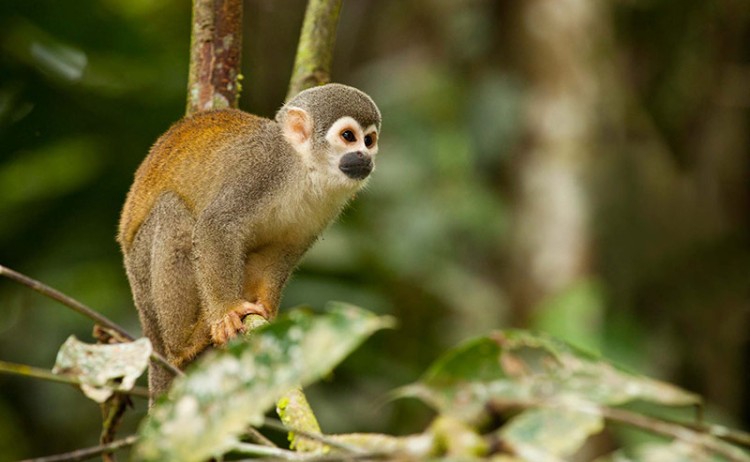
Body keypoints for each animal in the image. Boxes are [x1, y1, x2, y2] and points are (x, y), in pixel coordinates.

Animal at [117, 83, 381, 398]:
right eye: (348, 136)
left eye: (369, 140)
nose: (365, 157)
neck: (303, 169)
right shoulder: (261, 170)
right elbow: (215, 225)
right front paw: (227, 312)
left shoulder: (328, 205)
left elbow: (284, 249)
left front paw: (267, 309)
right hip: (143, 280)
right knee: (171, 210)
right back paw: (183, 344)